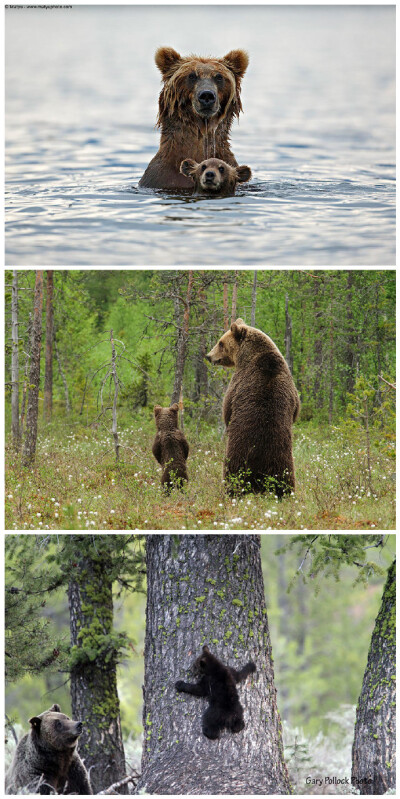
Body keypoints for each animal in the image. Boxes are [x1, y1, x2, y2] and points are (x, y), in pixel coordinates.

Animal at [206, 318, 300, 494]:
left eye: (220, 343)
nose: (208, 356)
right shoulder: (291, 387)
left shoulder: (238, 381)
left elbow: (227, 409)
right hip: (283, 462)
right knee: (285, 481)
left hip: (237, 456)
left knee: (232, 476)